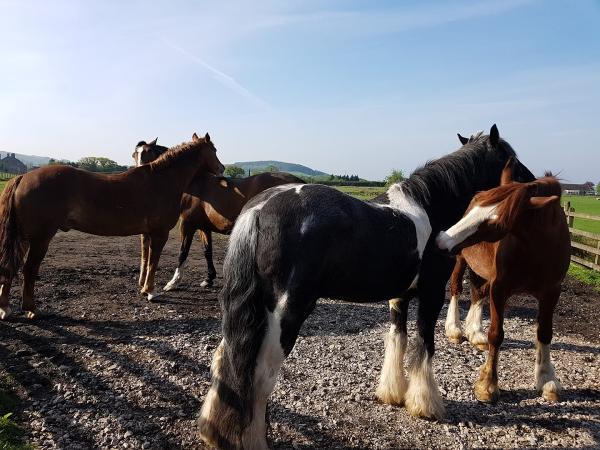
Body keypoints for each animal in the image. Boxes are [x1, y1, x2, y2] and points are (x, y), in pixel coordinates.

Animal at [0, 132, 224, 318]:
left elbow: (146, 260)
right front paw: (151, 292)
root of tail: (22, 177)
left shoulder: (148, 234)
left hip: (23, 237)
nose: (222, 169)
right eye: (214, 150)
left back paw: (6, 308)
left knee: (10, 266)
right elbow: (153, 262)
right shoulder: (160, 234)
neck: (162, 180)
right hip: (40, 238)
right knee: (28, 269)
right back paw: (32, 309)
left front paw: (144, 289)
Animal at [132, 137, 304, 290]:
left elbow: (183, 252)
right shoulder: (203, 227)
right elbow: (207, 251)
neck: (195, 184)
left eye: (147, 152)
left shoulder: (187, 225)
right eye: (134, 155)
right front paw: (208, 279)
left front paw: (173, 282)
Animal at [198, 124, 536, 450]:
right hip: (285, 315)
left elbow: (397, 340)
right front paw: (425, 405)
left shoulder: (399, 297)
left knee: (226, 360)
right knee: (258, 374)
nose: (533, 183)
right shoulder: (431, 294)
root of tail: (259, 210)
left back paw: (214, 432)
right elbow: (424, 345)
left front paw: (393, 394)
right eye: (511, 158)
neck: (430, 206)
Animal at [436, 159, 568, 404]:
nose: (441, 239)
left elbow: (544, 333)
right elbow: (496, 334)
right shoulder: (500, 288)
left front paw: (546, 378)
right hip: (461, 259)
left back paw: (475, 332)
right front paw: (488, 385)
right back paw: (455, 329)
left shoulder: (551, 292)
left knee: (478, 293)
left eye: (497, 223)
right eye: (476, 202)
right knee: (457, 288)